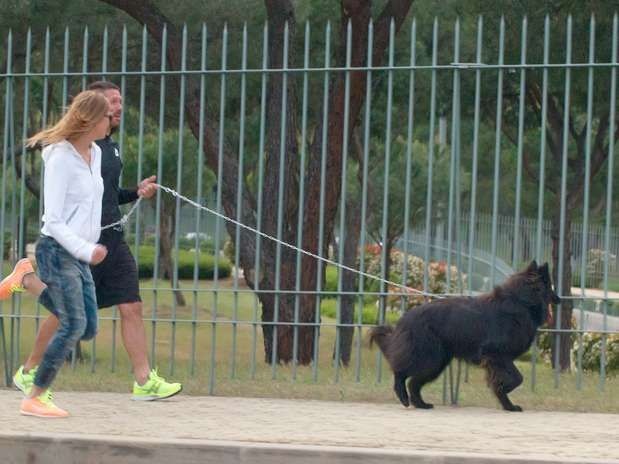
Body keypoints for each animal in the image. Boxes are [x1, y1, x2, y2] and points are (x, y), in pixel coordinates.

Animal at [369, 260, 560, 411]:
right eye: (550, 287)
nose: (561, 300)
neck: (522, 302)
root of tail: (405, 318)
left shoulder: (497, 360)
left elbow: (506, 380)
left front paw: (508, 405)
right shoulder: (497, 355)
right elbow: (517, 378)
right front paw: (505, 391)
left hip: (437, 363)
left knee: (413, 383)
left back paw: (421, 404)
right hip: (429, 358)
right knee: (400, 372)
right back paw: (403, 396)